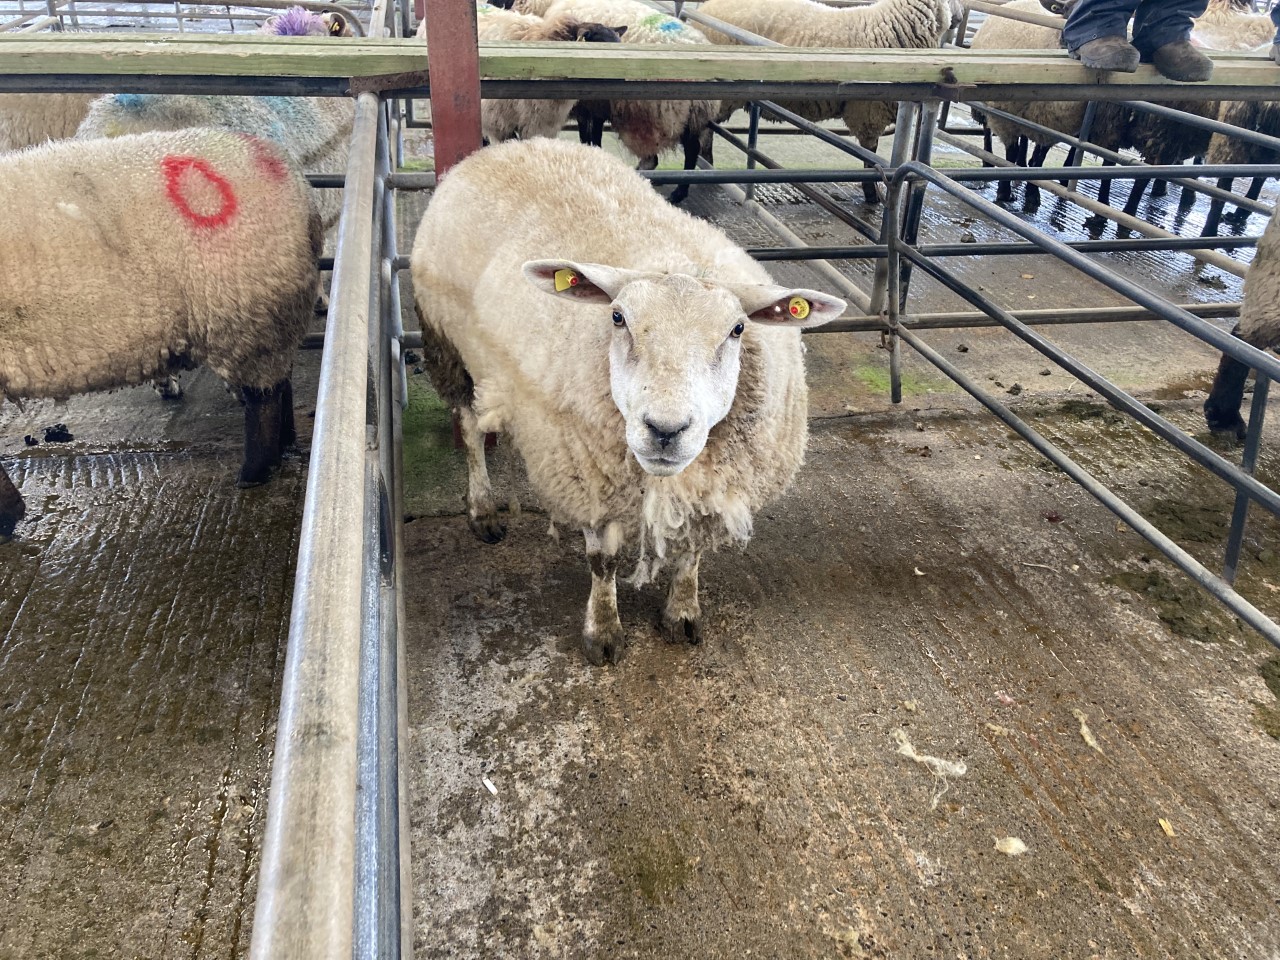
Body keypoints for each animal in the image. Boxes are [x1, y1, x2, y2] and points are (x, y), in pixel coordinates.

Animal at [0, 128, 322, 542]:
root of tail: (296, 181)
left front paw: (6, 518)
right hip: (265, 317)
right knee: (278, 386)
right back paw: (281, 448)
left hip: (246, 313)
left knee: (262, 400)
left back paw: (254, 473)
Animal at [409, 138, 846, 664]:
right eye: (618, 317)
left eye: (738, 329)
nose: (665, 430)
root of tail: (511, 146)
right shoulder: (587, 478)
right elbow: (603, 561)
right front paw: (603, 632)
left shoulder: (711, 485)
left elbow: (691, 551)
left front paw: (682, 613)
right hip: (448, 343)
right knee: (471, 427)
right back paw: (482, 509)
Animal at [504, 0, 721, 204]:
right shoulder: (594, 105)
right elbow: (591, 135)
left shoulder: (590, 105)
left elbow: (590, 134)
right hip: (688, 117)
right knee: (691, 148)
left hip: (663, 115)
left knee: (676, 152)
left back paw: (675, 191)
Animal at [696, 0, 957, 205]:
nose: (957, 20)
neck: (888, 26)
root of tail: (704, 9)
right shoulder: (868, 114)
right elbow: (870, 159)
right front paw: (872, 196)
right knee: (705, 130)